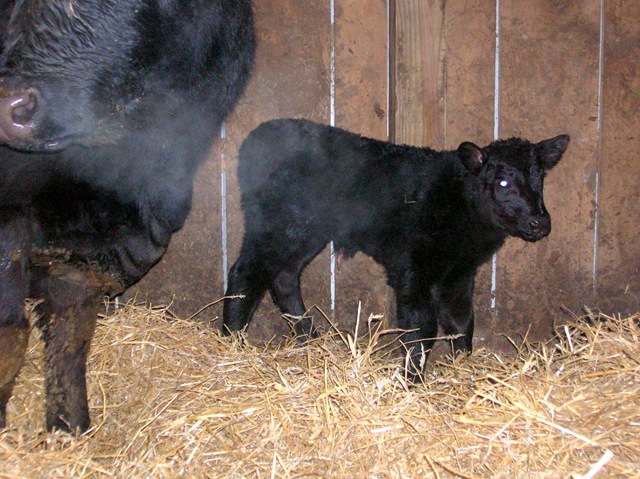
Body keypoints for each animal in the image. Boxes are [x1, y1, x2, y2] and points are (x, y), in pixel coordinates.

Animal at [223, 118, 569, 380]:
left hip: (306, 232)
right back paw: (231, 339)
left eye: (540, 177)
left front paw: (463, 367)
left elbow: (461, 322)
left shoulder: (459, 273)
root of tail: (256, 137)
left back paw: (309, 338)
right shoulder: (413, 267)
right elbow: (422, 326)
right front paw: (413, 379)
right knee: (245, 271)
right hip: (274, 223)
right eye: (503, 183)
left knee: (284, 276)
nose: (540, 222)